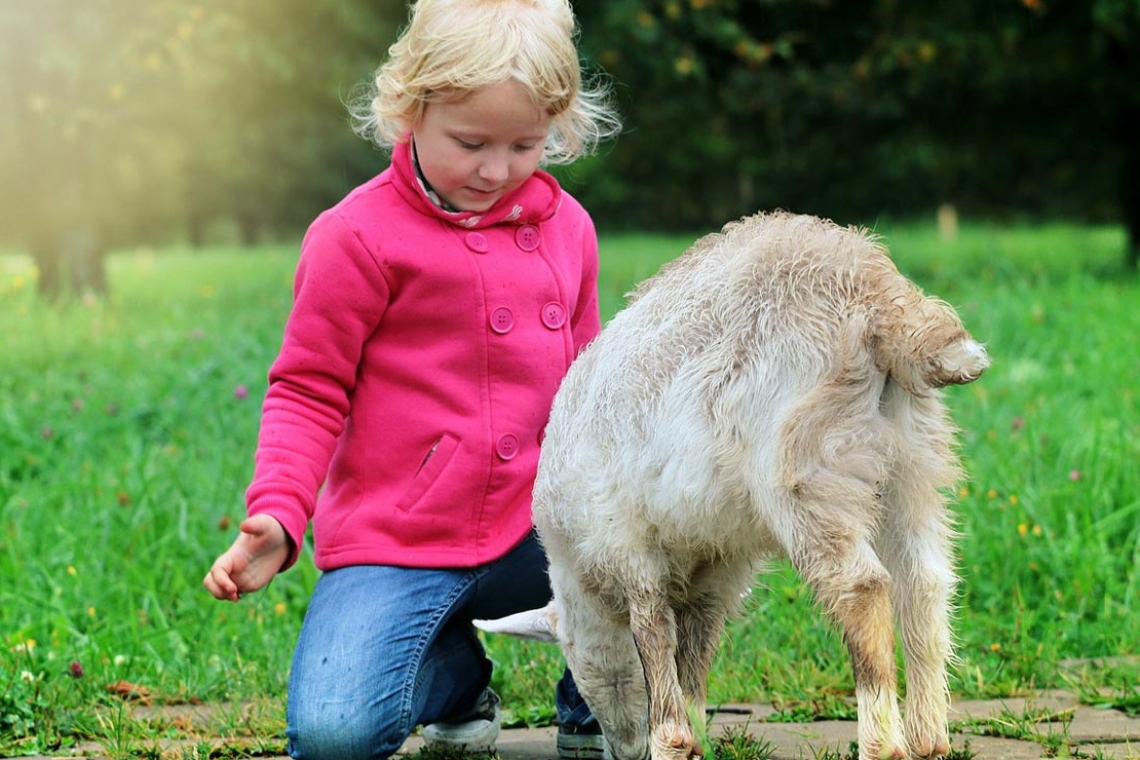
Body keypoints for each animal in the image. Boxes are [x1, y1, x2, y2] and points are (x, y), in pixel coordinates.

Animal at [476, 213, 984, 760]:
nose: (625, 750)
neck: (582, 570)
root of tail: (876, 294)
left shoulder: (623, 541)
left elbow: (654, 638)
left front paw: (670, 739)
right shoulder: (718, 561)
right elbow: (694, 654)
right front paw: (695, 735)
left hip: (806, 466)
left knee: (862, 587)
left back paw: (881, 743)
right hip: (911, 460)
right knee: (924, 582)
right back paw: (928, 739)